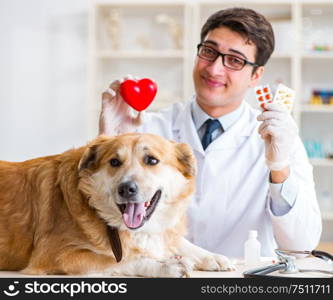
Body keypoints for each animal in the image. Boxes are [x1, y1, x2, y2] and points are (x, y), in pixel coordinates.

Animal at [0, 134, 231, 276]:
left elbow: (176, 240)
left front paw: (212, 256)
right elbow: (122, 259)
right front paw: (165, 266)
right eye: (114, 162)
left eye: (152, 160)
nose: (126, 188)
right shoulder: (57, 256)